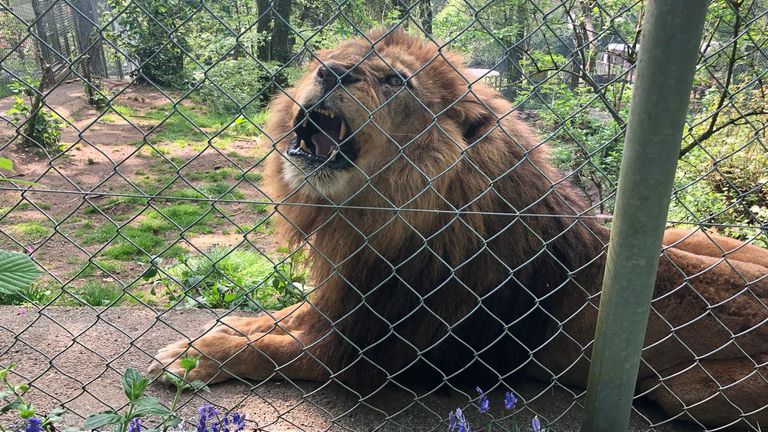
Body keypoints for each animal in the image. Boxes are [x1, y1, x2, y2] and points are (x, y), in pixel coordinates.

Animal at [150, 30, 768, 428]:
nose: (330, 72)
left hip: (687, 387)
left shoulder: (374, 354)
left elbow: (271, 350)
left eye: (393, 80)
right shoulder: (344, 298)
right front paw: (199, 339)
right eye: (332, 59)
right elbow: (270, 319)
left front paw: (191, 360)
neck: (373, 219)